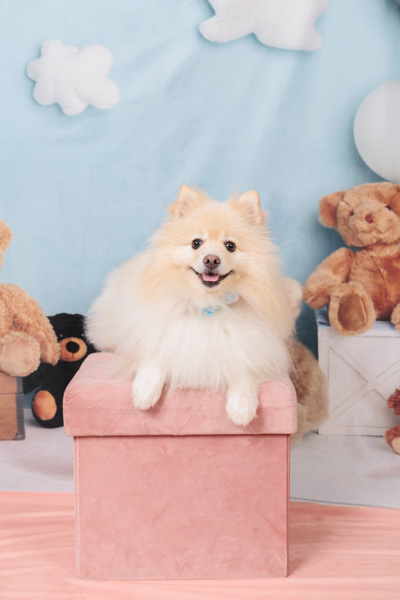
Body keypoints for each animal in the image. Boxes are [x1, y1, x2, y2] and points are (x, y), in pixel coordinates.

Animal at [86, 186, 294, 426]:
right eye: (196, 243)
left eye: (230, 246)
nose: (211, 259)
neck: (208, 305)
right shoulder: (158, 331)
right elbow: (154, 356)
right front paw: (144, 391)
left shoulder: (254, 344)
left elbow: (245, 370)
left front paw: (242, 407)